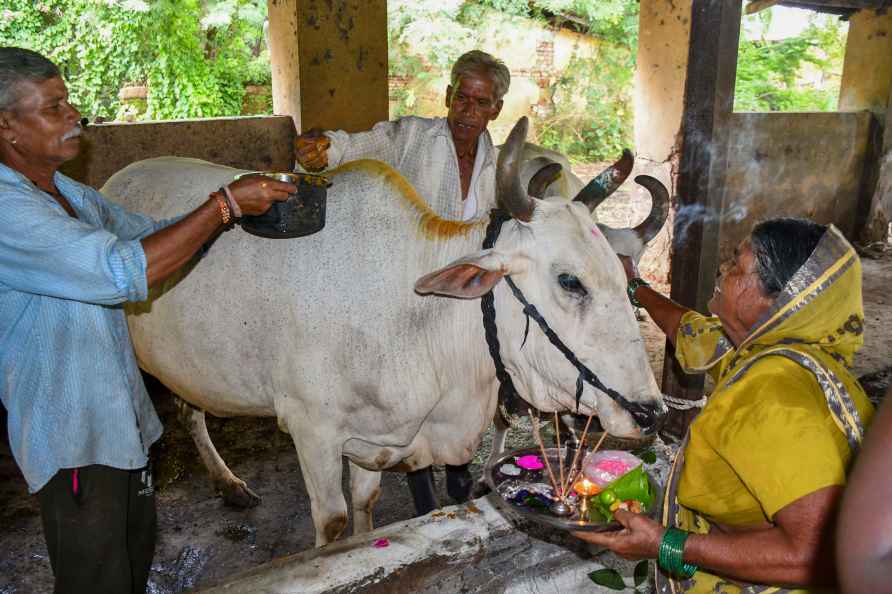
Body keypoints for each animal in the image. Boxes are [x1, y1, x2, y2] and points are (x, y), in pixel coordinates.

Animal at [101, 117, 664, 544]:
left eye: (625, 280)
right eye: (570, 281)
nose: (651, 412)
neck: (413, 314)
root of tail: (119, 176)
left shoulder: (375, 438)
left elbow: (365, 504)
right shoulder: (311, 430)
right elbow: (332, 524)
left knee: (188, 406)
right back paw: (227, 482)